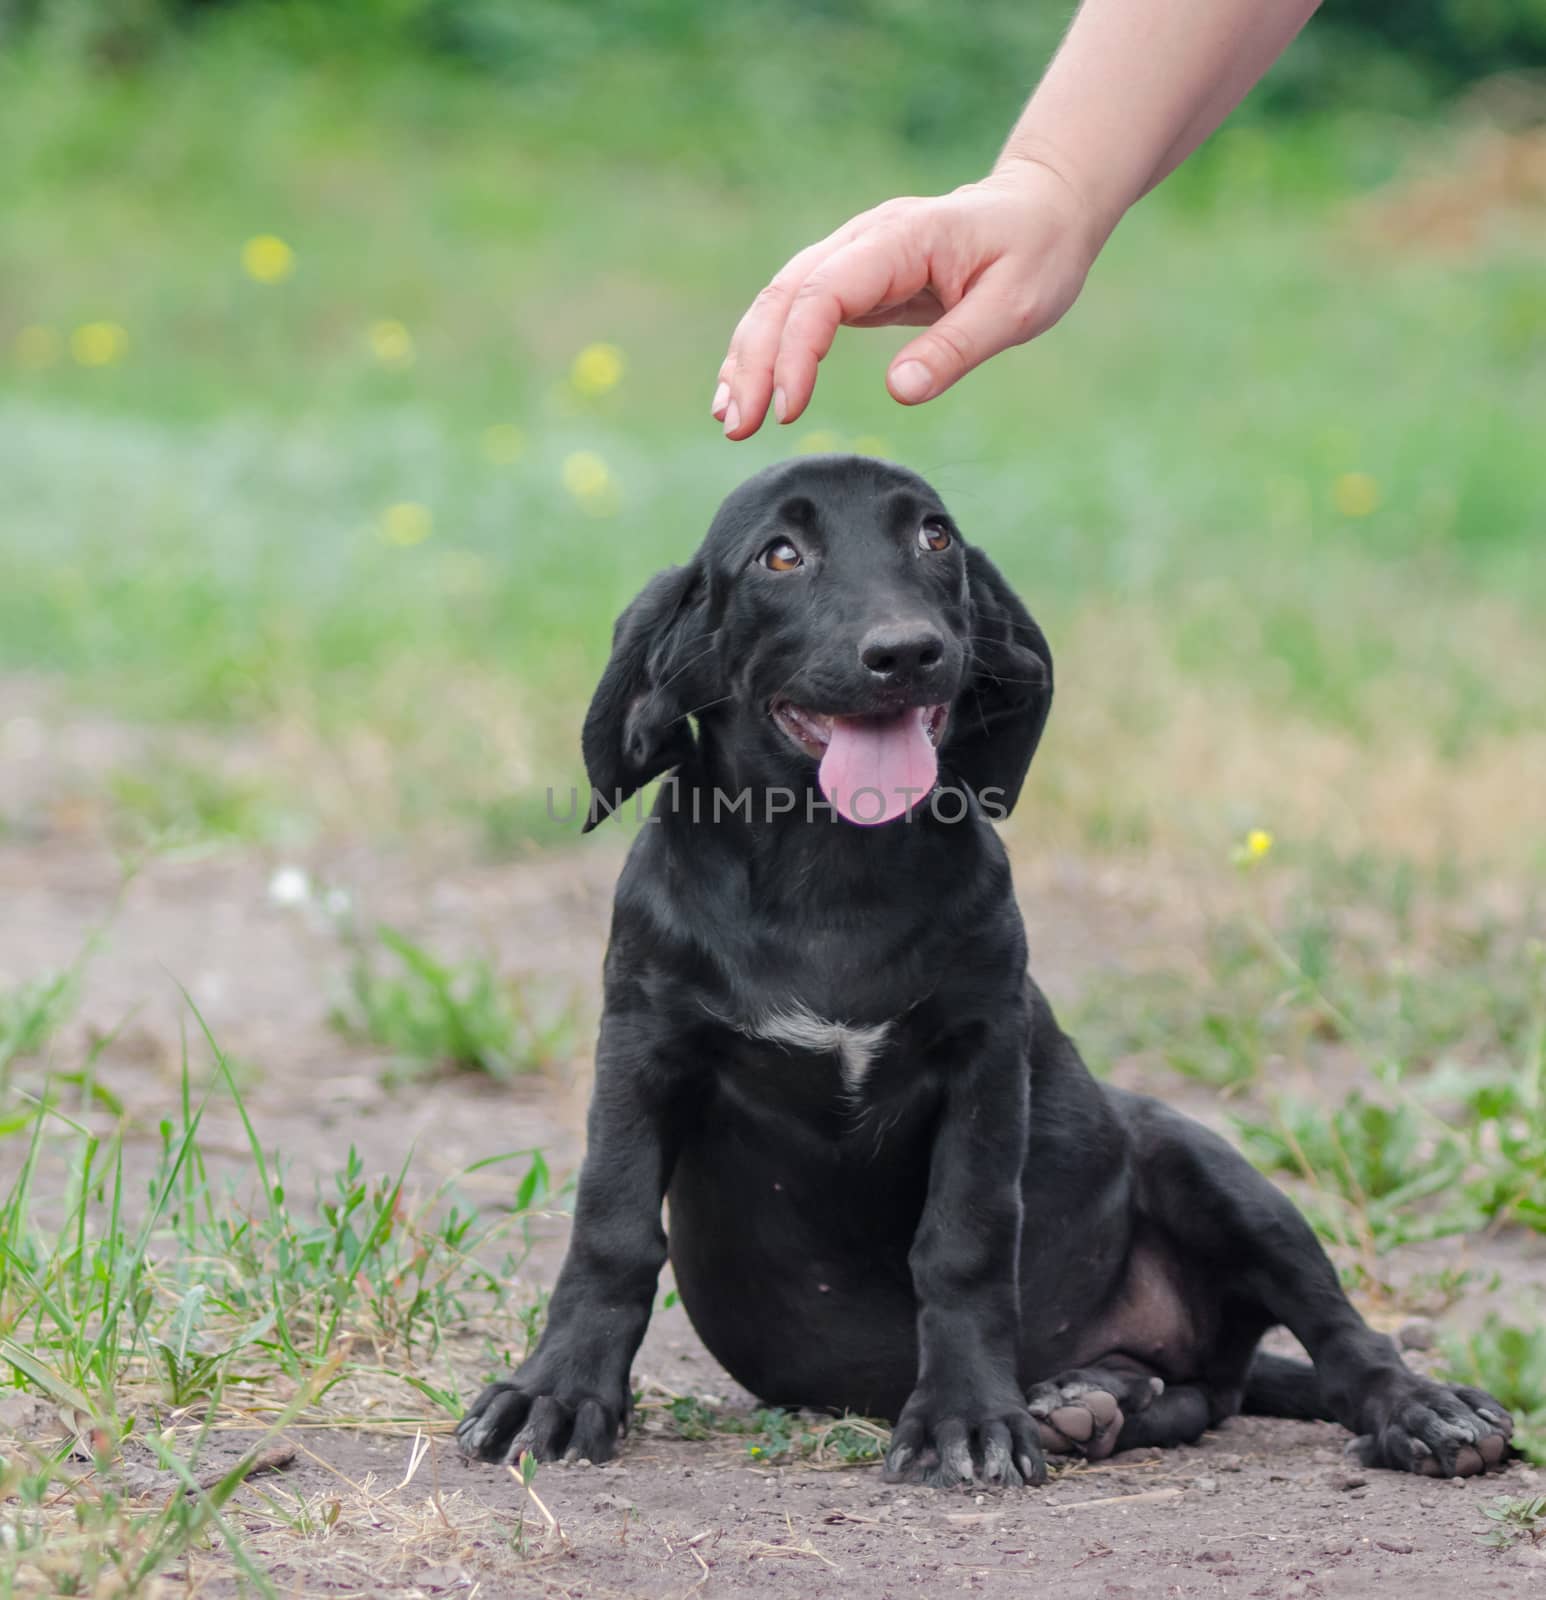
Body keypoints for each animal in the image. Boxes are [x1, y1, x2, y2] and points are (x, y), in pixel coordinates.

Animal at [457, 451, 1510, 1484]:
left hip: (1208, 1164)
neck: (831, 872)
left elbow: (963, 1243)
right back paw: (1085, 1401)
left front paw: (965, 1415)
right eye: (780, 555)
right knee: (1191, 1398)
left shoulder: (984, 1055)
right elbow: (612, 1224)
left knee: (1338, 1339)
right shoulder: (643, 1041)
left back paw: (1420, 1411)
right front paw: (556, 1390)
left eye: (935, 539)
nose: (908, 651)